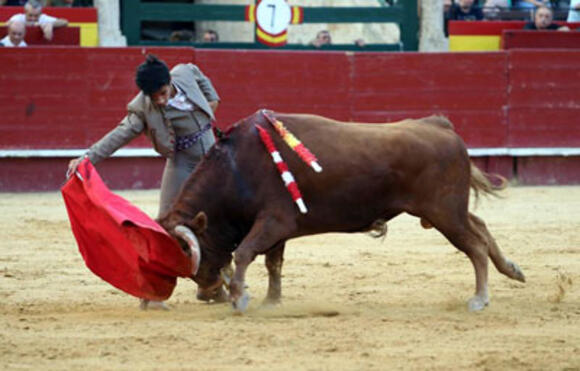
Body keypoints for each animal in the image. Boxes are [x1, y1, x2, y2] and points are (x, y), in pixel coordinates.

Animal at [157, 109, 524, 312]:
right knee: (481, 227)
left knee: (474, 245)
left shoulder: (274, 221)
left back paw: (479, 299)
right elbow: (274, 263)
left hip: (444, 212)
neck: (236, 167)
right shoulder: (278, 229)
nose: (207, 291)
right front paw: (271, 301)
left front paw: (240, 298)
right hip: (447, 212)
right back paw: (513, 270)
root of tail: (440, 125)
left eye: (191, 253)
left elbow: (246, 252)